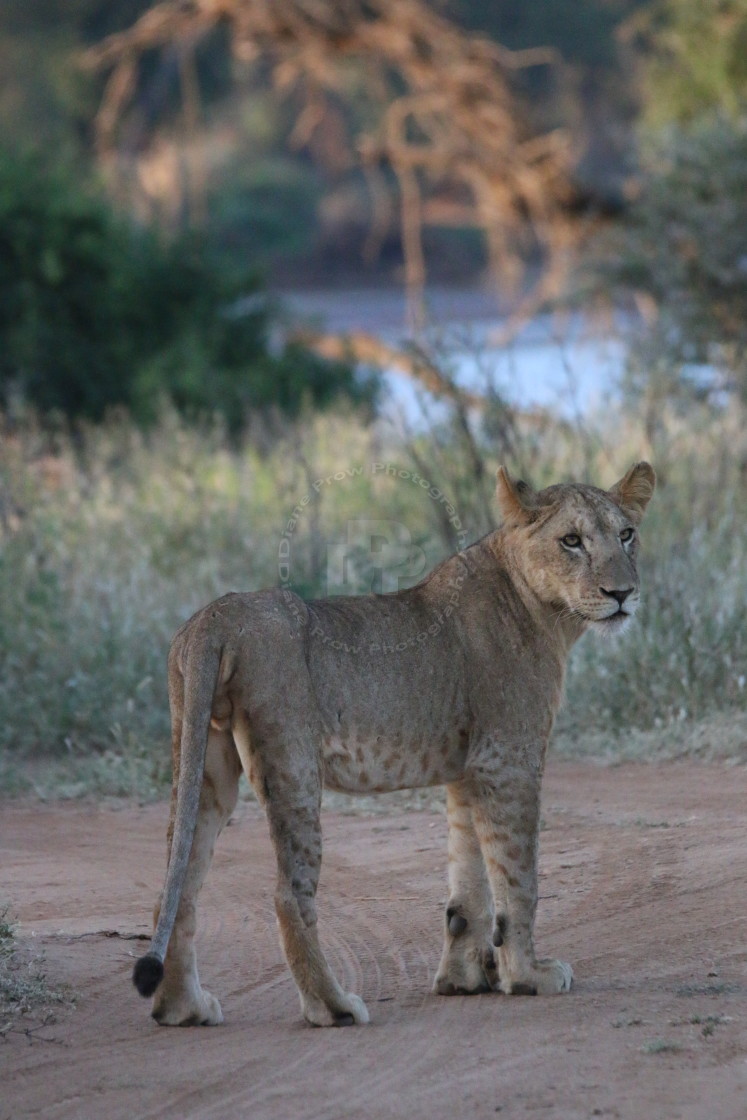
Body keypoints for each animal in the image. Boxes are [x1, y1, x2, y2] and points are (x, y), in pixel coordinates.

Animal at [132, 461, 654, 1025]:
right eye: (571, 541)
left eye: (627, 534)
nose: (622, 593)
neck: (547, 614)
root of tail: (215, 617)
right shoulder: (508, 758)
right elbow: (518, 877)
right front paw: (529, 976)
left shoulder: (468, 770)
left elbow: (468, 879)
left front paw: (463, 979)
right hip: (292, 764)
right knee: (288, 894)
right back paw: (334, 1006)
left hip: (204, 760)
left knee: (178, 883)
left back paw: (182, 1007)